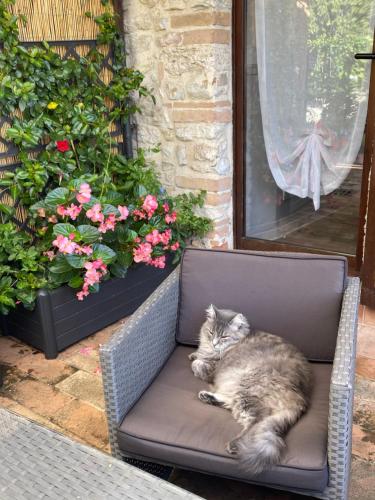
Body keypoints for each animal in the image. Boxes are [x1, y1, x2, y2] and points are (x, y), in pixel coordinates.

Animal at [189, 302, 312, 474]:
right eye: (211, 332)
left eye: (224, 337)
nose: (214, 343)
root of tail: (301, 396)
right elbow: (197, 356)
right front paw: (194, 354)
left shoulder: (212, 370)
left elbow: (197, 364)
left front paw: (196, 359)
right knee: (230, 404)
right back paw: (207, 397)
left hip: (247, 387)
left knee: (257, 420)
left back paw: (235, 445)